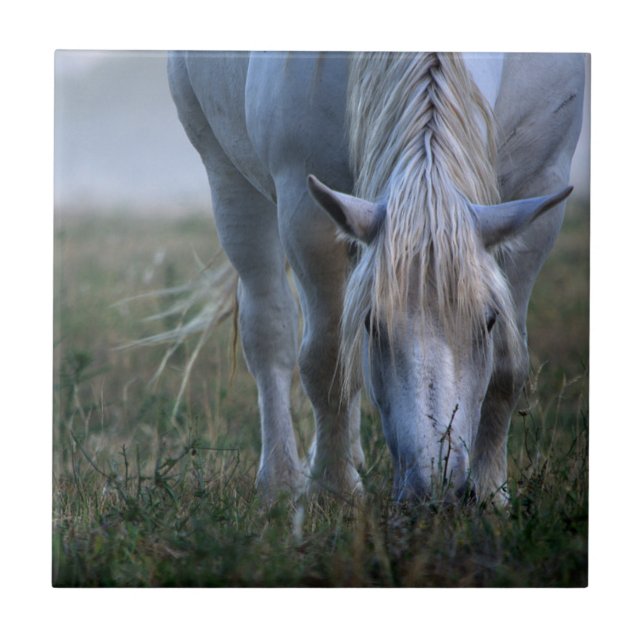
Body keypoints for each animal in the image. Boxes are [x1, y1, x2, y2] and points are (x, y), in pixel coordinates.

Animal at [167, 52, 585, 503]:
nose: (433, 490)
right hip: (231, 181)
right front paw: (335, 490)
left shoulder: (540, 189)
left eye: (488, 322)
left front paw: (491, 495)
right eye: (373, 324)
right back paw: (282, 481)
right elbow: (328, 358)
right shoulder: (305, 206)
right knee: (269, 330)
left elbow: (508, 366)